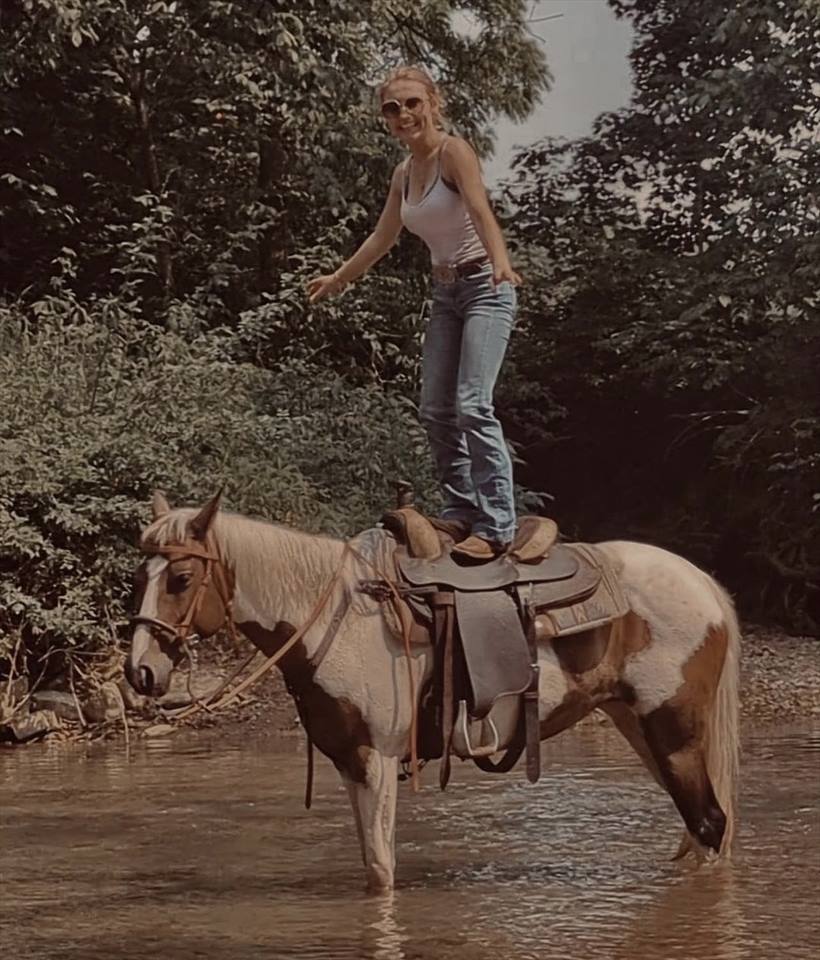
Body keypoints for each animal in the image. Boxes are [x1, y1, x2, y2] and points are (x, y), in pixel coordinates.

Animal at [126, 491, 740, 893]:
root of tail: (702, 583)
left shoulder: (377, 758)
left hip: (673, 728)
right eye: (139, 577)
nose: (140, 672)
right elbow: (372, 866)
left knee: (710, 824)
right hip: (638, 725)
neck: (339, 617)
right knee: (698, 829)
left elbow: (382, 873)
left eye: (181, 579)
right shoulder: (350, 762)